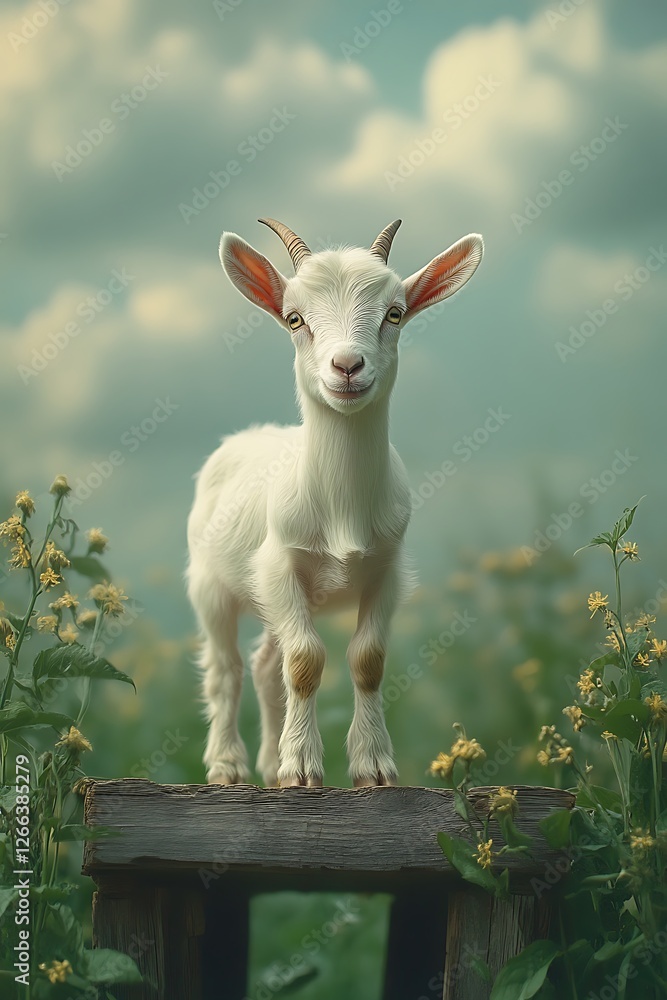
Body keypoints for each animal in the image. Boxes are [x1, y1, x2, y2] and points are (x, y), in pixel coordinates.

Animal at [187, 218, 483, 787]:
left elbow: (367, 660)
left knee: (264, 664)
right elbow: (305, 662)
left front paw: (372, 767)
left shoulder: (387, 569)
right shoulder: (279, 563)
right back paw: (227, 765)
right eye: (294, 318)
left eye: (395, 313)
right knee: (226, 669)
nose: (346, 366)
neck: (342, 505)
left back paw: (268, 765)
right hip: (211, 584)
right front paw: (303, 768)